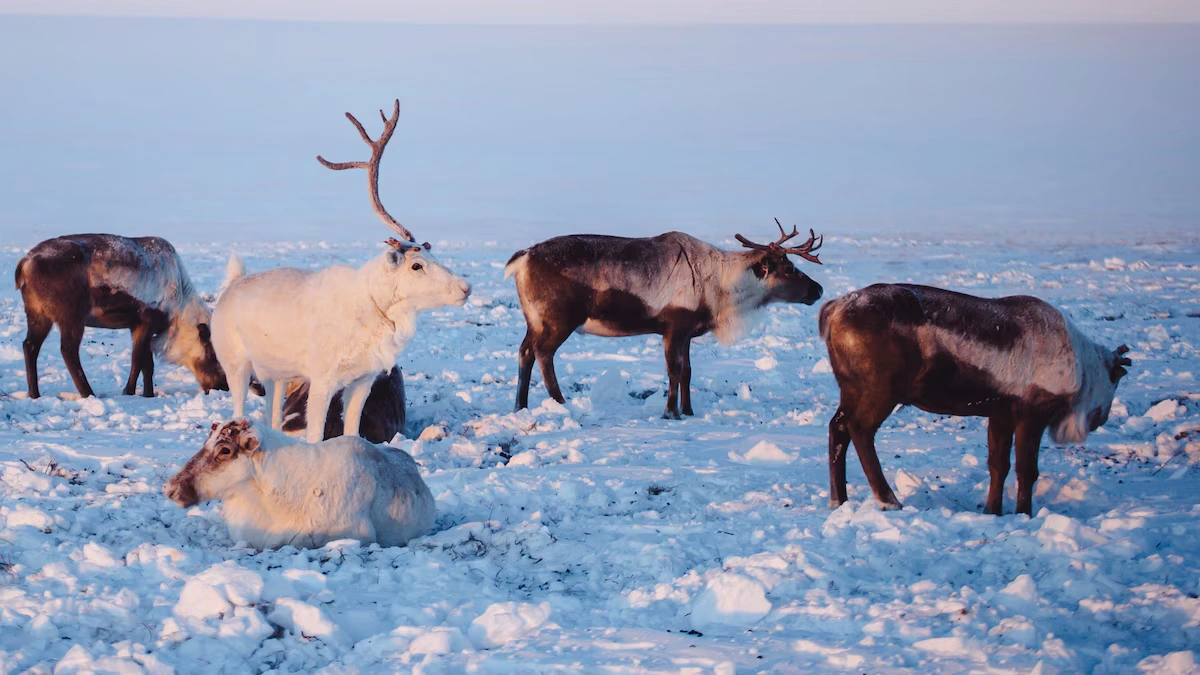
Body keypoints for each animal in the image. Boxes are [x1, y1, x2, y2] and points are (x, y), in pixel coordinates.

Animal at [15, 234, 229, 399]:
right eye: (212, 354)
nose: (223, 387)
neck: (179, 309)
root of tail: (24, 264)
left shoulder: (139, 326)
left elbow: (147, 364)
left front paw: (148, 394)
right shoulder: (145, 321)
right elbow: (137, 361)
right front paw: (129, 392)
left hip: (37, 313)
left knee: (30, 345)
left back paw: (34, 394)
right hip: (71, 316)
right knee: (68, 350)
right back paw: (88, 393)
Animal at [210, 100, 470, 443]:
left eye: (432, 252)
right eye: (417, 265)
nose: (465, 288)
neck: (372, 309)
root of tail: (232, 286)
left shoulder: (362, 382)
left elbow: (352, 431)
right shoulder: (322, 381)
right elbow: (316, 435)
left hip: (275, 376)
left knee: (272, 416)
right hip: (237, 365)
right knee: (239, 408)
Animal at [505, 220, 825, 419]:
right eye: (789, 268)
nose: (819, 290)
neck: (722, 288)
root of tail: (523, 258)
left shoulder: (688, 331)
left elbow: (687, 372)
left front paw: (689, 411)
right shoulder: (674, 326)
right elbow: (674, 370)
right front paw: (671, 412)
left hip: (534, 320)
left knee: (525, 351)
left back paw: (520, 406)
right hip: (558, 320)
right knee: (543, 353)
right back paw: (559, 402)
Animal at [819, 283, 1132, 516]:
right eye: (1116, 379)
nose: (1101, 418)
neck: (1083, 366)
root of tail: (834, 309)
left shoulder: (1001, 414)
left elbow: (998, 465)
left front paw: (993, 511)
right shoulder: (1032, 413)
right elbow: (1026, 469)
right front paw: (1024, 513)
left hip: (851, 388)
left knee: (838, 427)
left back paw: (839, 500)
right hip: (880, 391)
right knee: (860, 429)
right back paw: (888, 500)